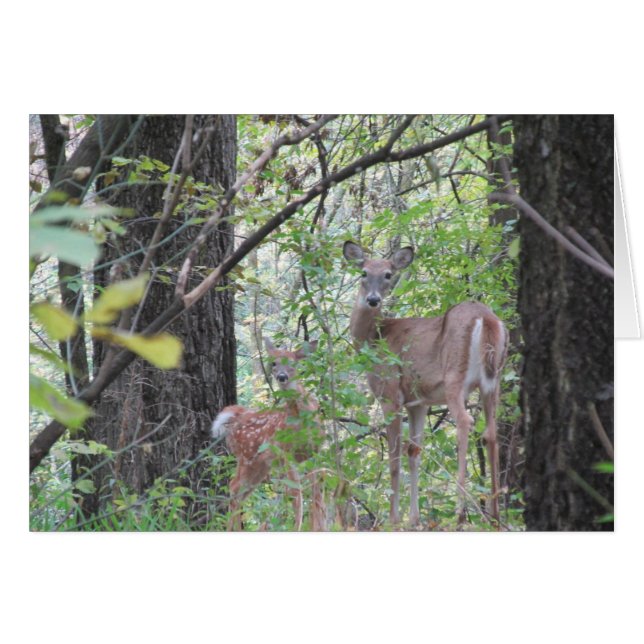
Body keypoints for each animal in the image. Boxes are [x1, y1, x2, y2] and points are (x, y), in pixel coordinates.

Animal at [211, 338, 325, 531]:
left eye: (293, 363)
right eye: (273, 363)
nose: (282, 377)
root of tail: (238, 416)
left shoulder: (316, 451)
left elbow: (317, 493)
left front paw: (318, 527)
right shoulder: (286, 452)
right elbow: (295, 492)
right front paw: (298, 528)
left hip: (260, 466)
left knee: (240, 492)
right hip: (247, 457)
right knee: (233, 487)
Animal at [343, 240, 508, 529]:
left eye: (388, 274)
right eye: (363, 272)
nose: (373, 300)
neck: (374, 336)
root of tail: (486, 318)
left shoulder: (390, 394)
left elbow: (395, 458)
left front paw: (394, 519)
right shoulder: (418, 402)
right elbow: (414, 452)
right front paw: (414, 519)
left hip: (455, 377)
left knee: (465, 422)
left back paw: (460, 513)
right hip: (492, 383)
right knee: (491, 432)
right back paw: (495, 517)